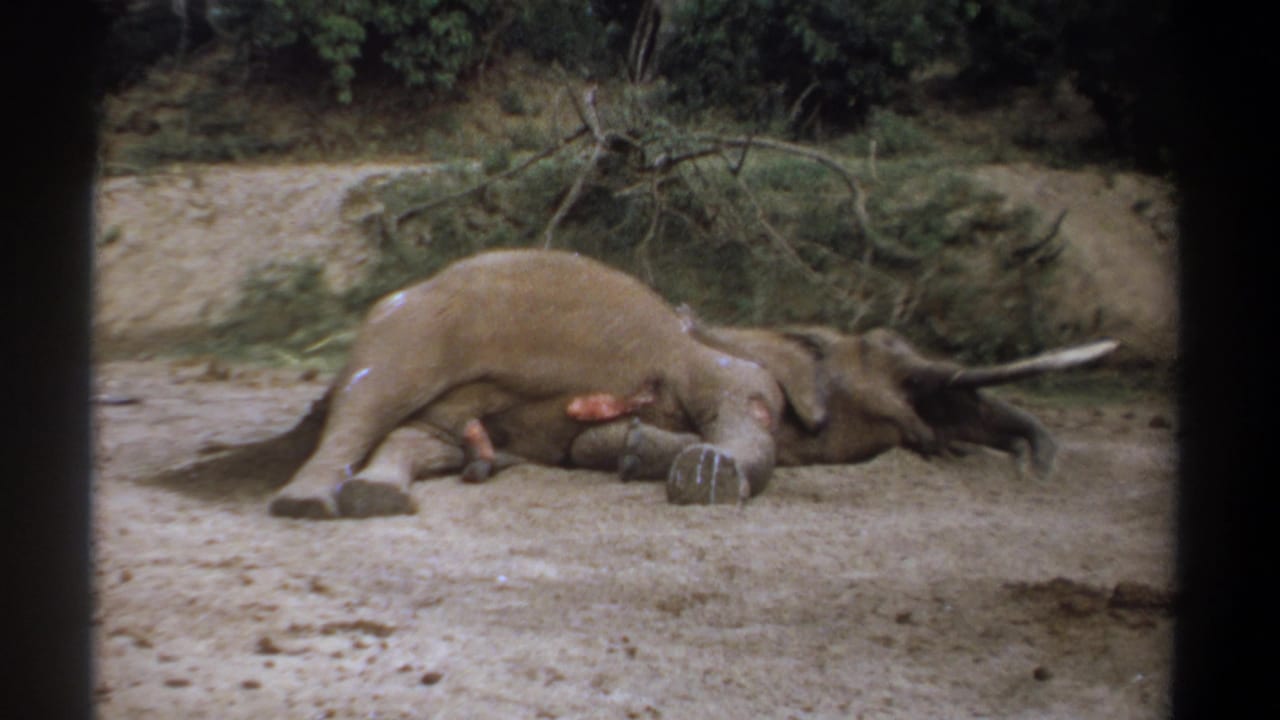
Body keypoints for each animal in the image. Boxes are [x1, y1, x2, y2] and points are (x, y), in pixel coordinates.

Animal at [268, 249, 784, 519]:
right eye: (764, 407)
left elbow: (585, 443)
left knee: (418, 433)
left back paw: (385, 494)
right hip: (409, 333)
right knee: (369, 402)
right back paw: (306, 502)